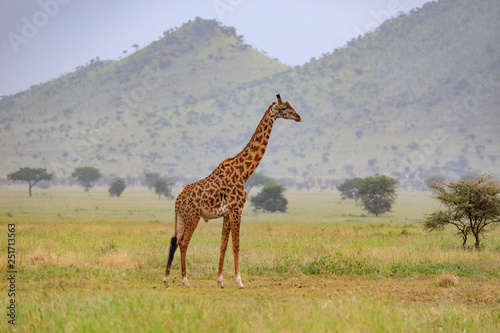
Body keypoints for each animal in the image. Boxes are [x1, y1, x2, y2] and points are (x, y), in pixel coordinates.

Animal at [163, 93, 300, 288]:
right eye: (284, 108)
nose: (298, 117)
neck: (244, 173)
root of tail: (177, 200)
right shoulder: (237, 209)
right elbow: (236, 245)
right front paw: (239, 281)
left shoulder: (227, 214)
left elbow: (223, 245)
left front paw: (220, 281)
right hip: (193, 216)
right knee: (183, 242)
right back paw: (185, 280)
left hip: (182, 217)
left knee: (174, 240)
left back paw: (166, 279)